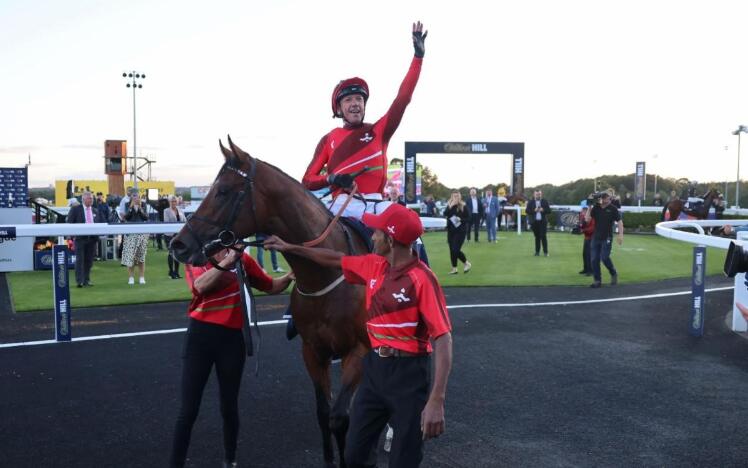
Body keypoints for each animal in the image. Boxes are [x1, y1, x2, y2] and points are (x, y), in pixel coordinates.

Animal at [169, 136, 368, 468]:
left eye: (223, 191)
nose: (178, 244)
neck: (326, 273)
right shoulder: (312, 350)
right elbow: (323, 412)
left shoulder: (358, 349)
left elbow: (340, 418)